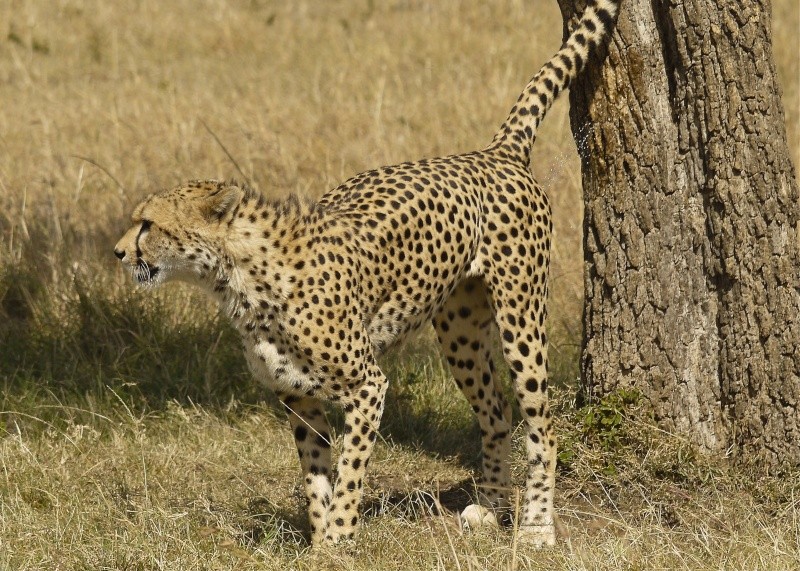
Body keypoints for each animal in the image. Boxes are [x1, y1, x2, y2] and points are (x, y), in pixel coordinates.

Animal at [115, 0, 620, 544]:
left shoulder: (367, 386)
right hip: (460, 333)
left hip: (520, 317)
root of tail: (493, 153)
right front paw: (320, 542)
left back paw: (536, 527)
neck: (240, 280)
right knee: (496, 409)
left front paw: (338, 538)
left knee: (542, 426)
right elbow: (316, 474)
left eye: (148, 224)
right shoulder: (296, 395)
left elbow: (350, 470)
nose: (117, 252)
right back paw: (488, 506)